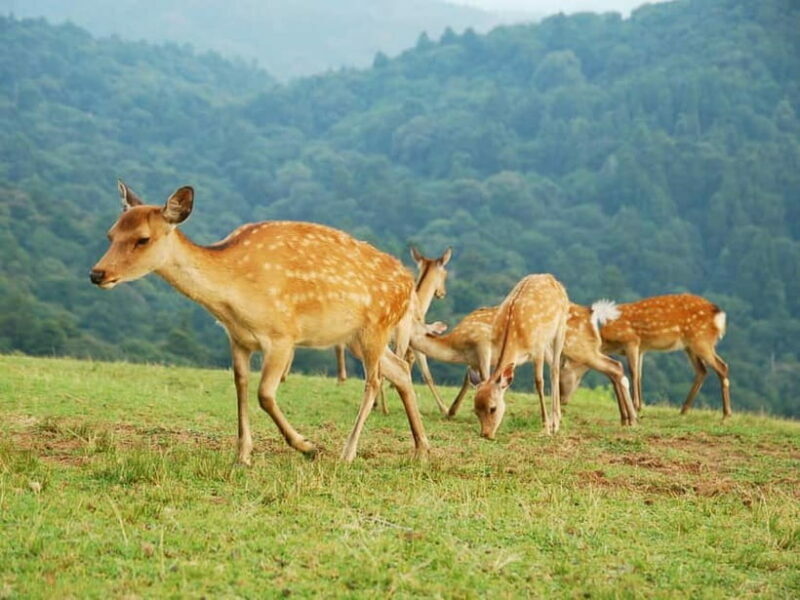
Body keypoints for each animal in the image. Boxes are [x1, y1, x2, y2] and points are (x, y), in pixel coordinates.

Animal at [90, 181, 430, 464]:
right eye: (110, 234)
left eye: (143, 239)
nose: (97, 273)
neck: (233, 299)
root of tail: (408, 285)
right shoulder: (238, 338)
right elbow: (241, 386)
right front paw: (243, 456)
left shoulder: (282, 336)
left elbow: (264, 395)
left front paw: (307, 446)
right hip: (354, 338)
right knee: (400, 368)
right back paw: (421, 448)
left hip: (377, 326)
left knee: (374, 381)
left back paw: (347, 453)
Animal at [412, 303, 637, 426]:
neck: (457, 347)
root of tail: (591, 314)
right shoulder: (475, 360)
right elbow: (470, 380)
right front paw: (451, 411)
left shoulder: (482, 346)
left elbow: (483, 378)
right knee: (613, 369)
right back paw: (626, 419)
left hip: (578, 346)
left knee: (614, 367)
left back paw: (632, 418)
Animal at [471, 274, 569, 439]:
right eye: (475, 410)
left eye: (493, 408)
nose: (485, 434)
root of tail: (550, 277)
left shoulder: (538, 348)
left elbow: (539, 382)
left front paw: (546, 428)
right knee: (553, 365)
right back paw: (557, 419)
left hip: (560, 327)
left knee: (555, 369)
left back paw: (555, 424)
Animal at [564, 294, 731, 418]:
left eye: (562, 379)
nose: (563, 401)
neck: (608, 342)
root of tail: (719, 315)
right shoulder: (641, 349)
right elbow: (639, 374)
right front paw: (640, 406)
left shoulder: (631, 341)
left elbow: (633, 372)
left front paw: (636, 406)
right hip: (690, 346)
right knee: (702, 370)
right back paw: (684, 410)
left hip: (701, 340)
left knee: (722, 366)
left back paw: (726, 414)